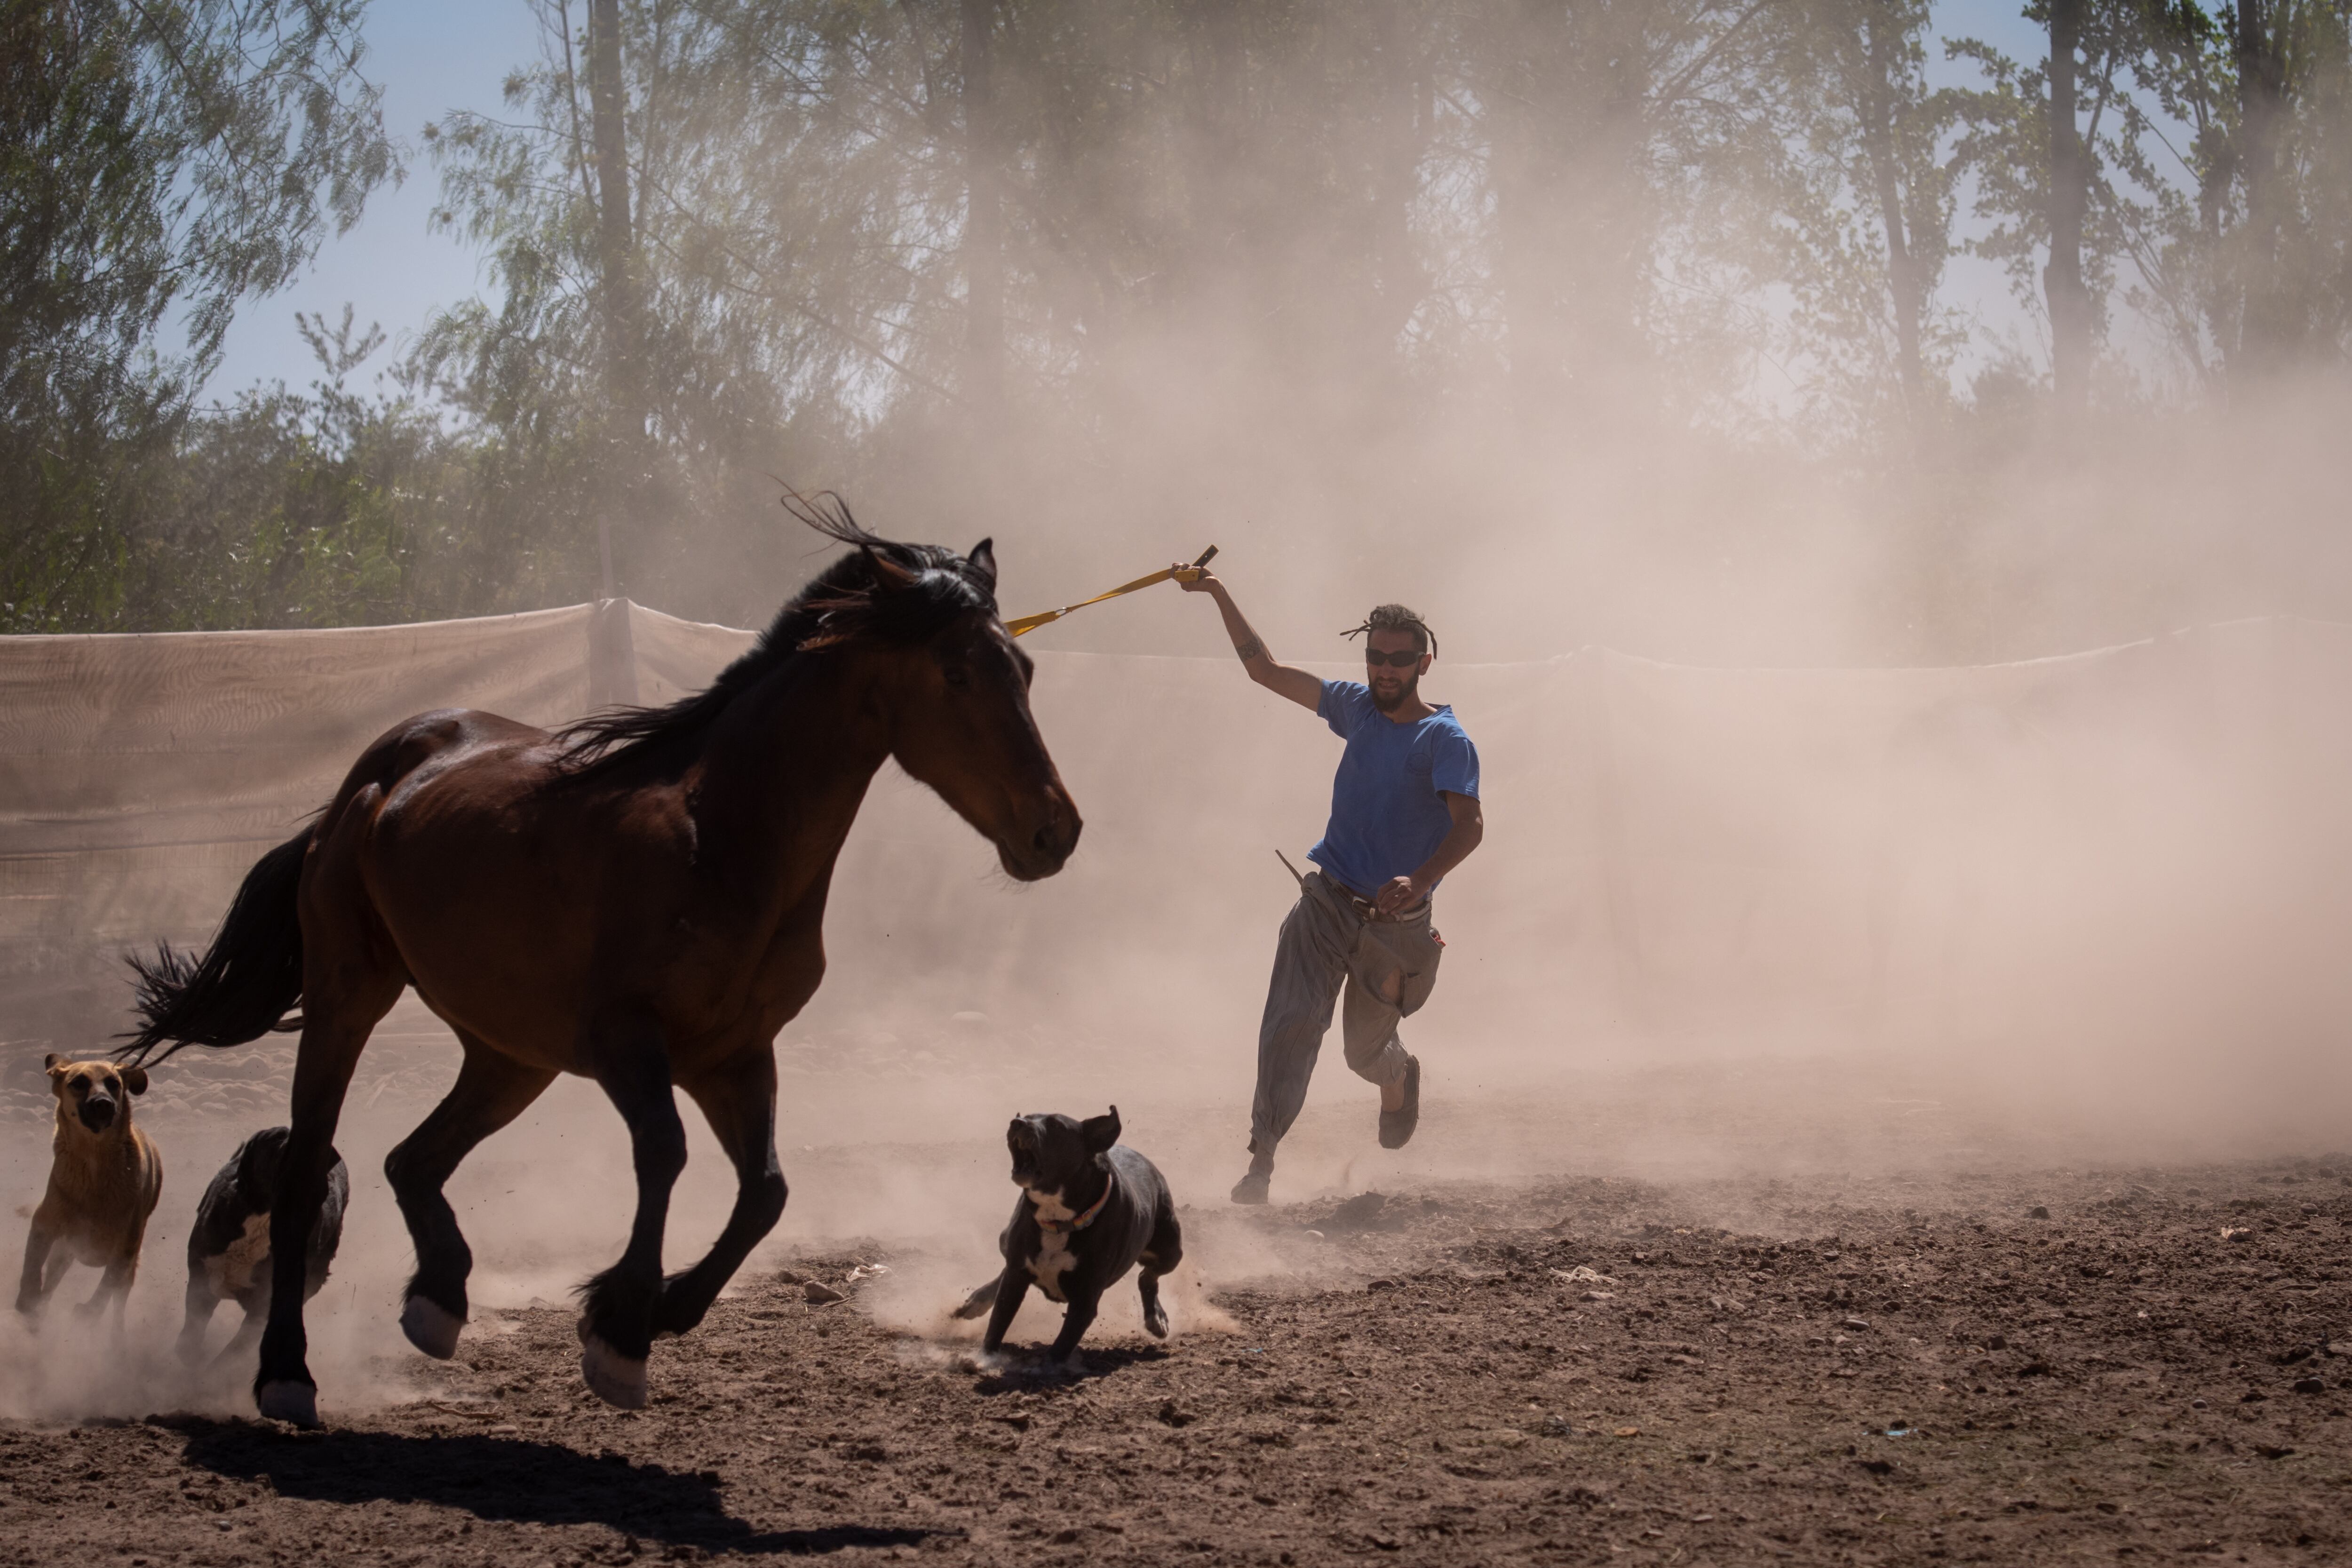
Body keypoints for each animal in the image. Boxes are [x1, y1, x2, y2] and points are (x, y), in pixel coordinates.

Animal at [16, 1053, 162, 1326]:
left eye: (114, 1083)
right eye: (79, 1082)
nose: (103, 1103)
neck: (94, 1160)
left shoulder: (126, 1246)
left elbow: (107, 1285)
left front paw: (90, 1311)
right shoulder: (45, 1222)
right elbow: (32, 1263)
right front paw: (28, 1298)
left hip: (126, 1270)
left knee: (118, 1304)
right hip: (63, 1253)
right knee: (51, 1284)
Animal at [124, 501, 1077, 1420]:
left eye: (1026, 671)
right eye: (956, 673)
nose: (1055, 830)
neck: (721, 836)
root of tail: (373, 777)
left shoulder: (736, 1055)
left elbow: (765, 1192)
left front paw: (658, 1310)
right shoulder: (628, 1042)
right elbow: (665, 1152)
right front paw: (620, 1332)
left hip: (511, 1056)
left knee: (412, 1160)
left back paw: (438, 1300)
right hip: (348, 997)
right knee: (303, 1178)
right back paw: (287, 1373)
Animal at [950, 1109, 1185, 1363]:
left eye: (1056, 1125)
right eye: (1028, 1116)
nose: (1017, 1123)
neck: (1059, 1221)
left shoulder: (1086, 1297)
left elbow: (1063, 1343)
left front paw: (1044, 1365)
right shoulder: (1016, 1275)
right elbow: (998, 1320)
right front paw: (984, 1358)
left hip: (1170, 1250)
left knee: (1148, 1276)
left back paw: (1156, 1317)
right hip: (1006, 1241)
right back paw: (977, 1301)